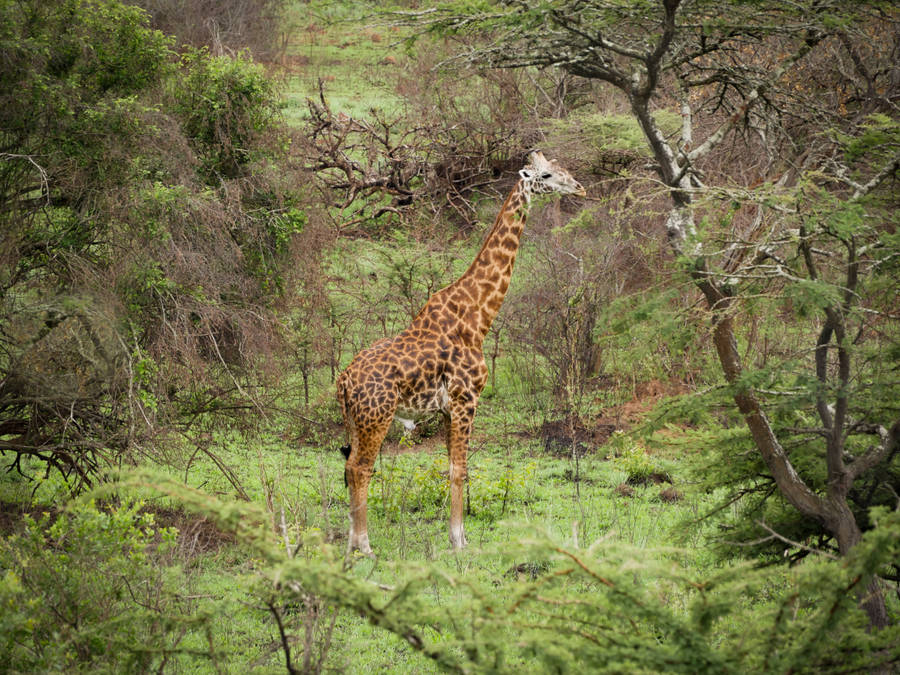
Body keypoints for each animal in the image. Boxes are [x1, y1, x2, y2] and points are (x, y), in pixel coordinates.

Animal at [336, 152, 584, 556]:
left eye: (563, 168)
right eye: (546, 175)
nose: (578, 187)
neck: (477, 315)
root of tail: (342, 381)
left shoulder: (448, 408)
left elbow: (451, 466)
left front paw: (457, 535)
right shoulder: (466, 398)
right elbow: (460, 469)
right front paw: (458, 539)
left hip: (357, 420)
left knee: (350, 466)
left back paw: (350, 543)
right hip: (378, 417)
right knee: (361, 468)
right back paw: (365, 545)